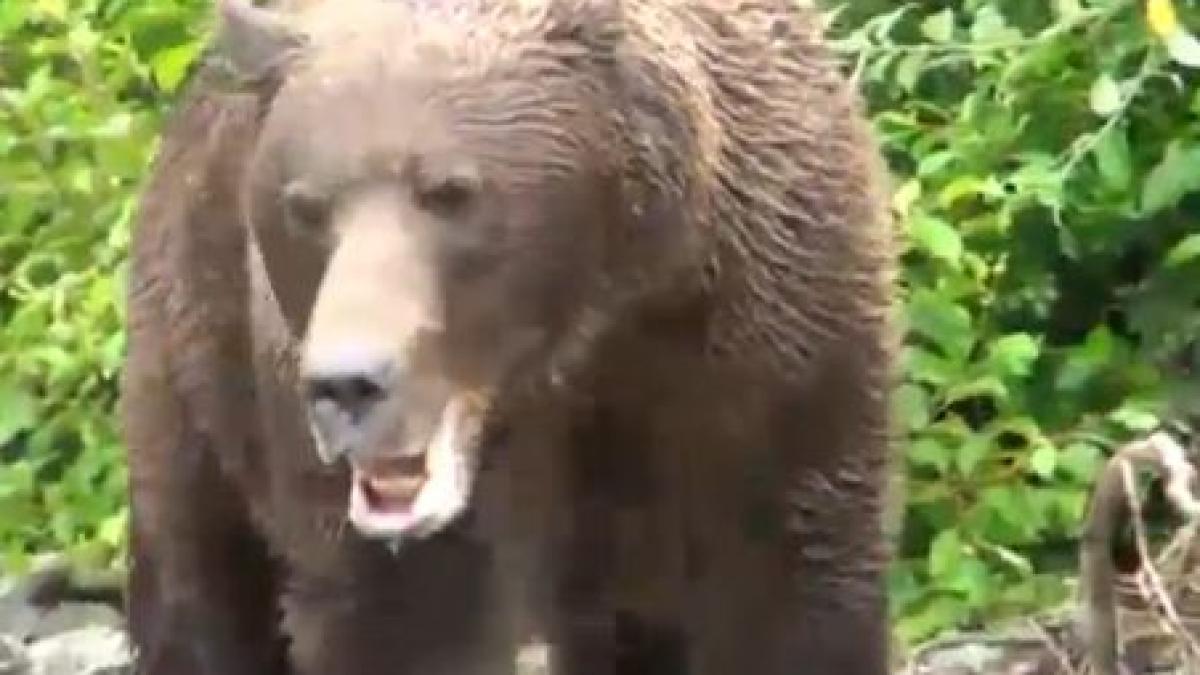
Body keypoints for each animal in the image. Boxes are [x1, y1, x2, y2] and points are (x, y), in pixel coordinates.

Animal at [119, 0, 898, 673]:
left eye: (450, 191)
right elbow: (405, 621)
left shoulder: (766, 338)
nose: (346, 384)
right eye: (306, 206)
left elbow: (787, 582)